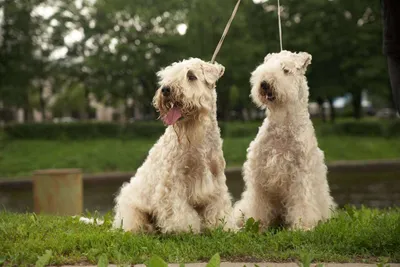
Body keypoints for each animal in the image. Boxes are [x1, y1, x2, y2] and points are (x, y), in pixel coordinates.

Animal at [112, 57, 234, 233]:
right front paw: (184, 228)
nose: (165, 89)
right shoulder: (172, 181)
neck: (197, 138)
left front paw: (221, 226)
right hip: (132, 208)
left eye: (191, 76)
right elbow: (178, 210)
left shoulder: (216, 180)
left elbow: (218, 206)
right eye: (167, 76)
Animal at [233, 51, 336, 231]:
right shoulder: (259, 174)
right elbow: (257, 204)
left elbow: (303, 204)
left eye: (286, 70)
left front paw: (302, 227)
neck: (283, 125)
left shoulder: (301, 175)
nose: (264, 83)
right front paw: (256, 225)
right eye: (265, 66)